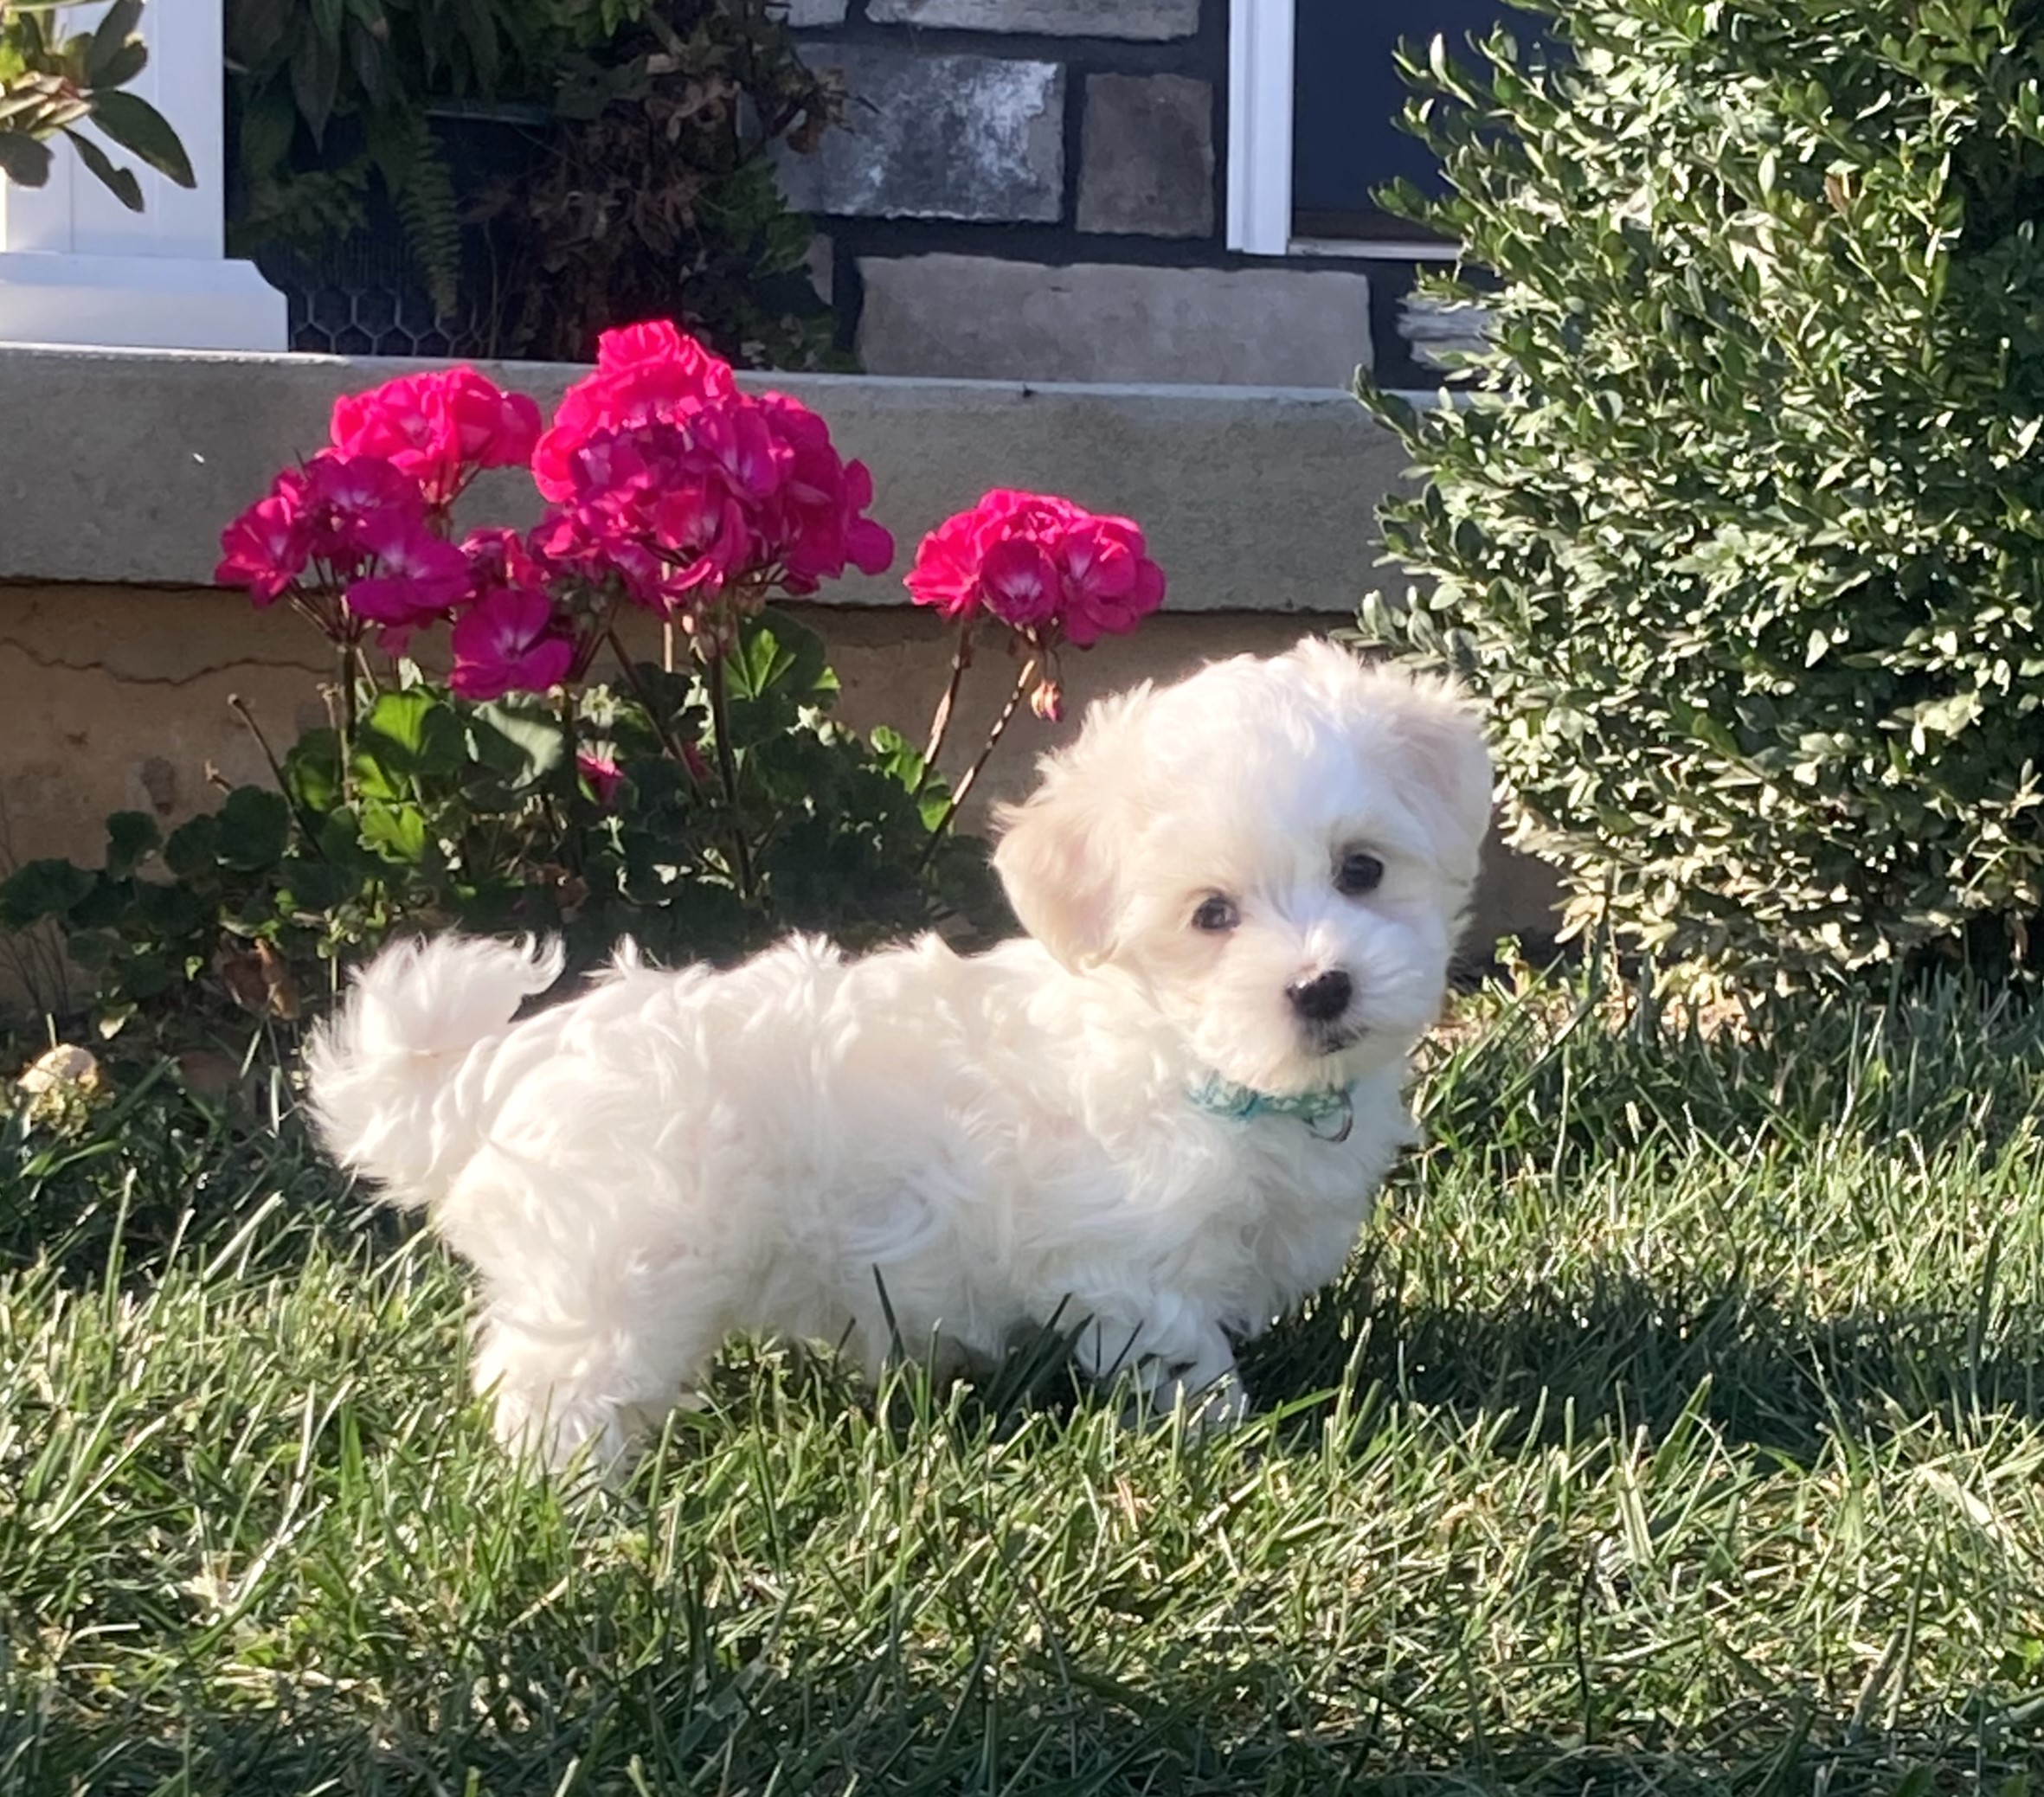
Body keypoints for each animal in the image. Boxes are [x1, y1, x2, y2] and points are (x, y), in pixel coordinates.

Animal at [306, 638, 1488, 1472]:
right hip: (609, 1271)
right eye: (1210, 915)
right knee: (557, 1380)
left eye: (1361, 869)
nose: (1320, 986)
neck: (1212, 1071)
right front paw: (1231, 1440)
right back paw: (574, 1508)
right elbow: (1184, 1355)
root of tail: (516, 1060)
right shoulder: (1127, 1265)